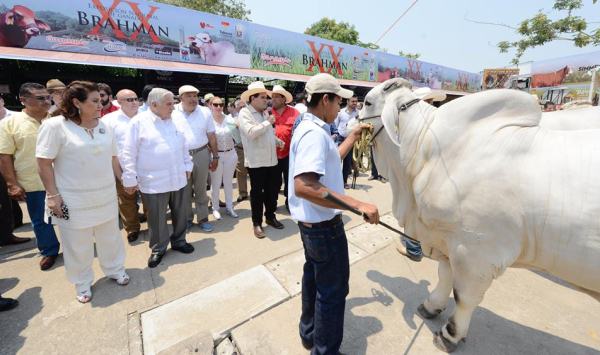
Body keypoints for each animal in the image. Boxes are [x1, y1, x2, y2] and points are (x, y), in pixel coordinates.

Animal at [356, 78, 600, 354]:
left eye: (367, 102)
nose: (354, 121)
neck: (424, 153)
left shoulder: (475, 252)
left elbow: (464, 297)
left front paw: (450, 334)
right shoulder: (446, 239)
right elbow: (444, 275)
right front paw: (431, 306)